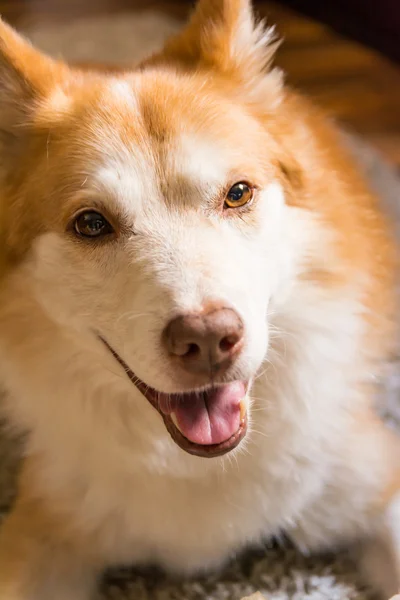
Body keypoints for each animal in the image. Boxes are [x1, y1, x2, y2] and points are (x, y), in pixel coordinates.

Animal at [0, 1, 400, 600]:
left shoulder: (369, 474)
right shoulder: (46, 521)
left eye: (237, 193)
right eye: (91, 224)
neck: (202, 464)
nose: (209, 340)